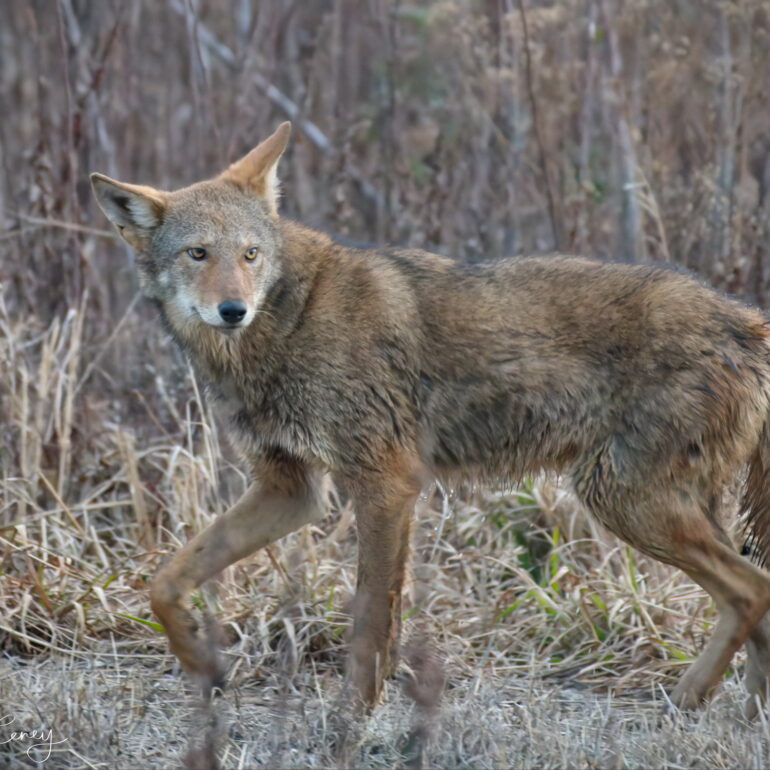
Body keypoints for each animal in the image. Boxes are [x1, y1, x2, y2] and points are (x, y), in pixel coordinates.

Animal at [91, 122, 770, 716]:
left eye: (251, 254)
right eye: (197, 254)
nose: (233, 309)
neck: (290, 320)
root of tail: (747, 320)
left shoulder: (385, 484)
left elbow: (369, 621)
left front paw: (352, 718)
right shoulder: (292, 491)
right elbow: (164, 579)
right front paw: (205, 669)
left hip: (624, 500)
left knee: (751, 591)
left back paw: (689, 699)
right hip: (664, 506)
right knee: (757, 601)